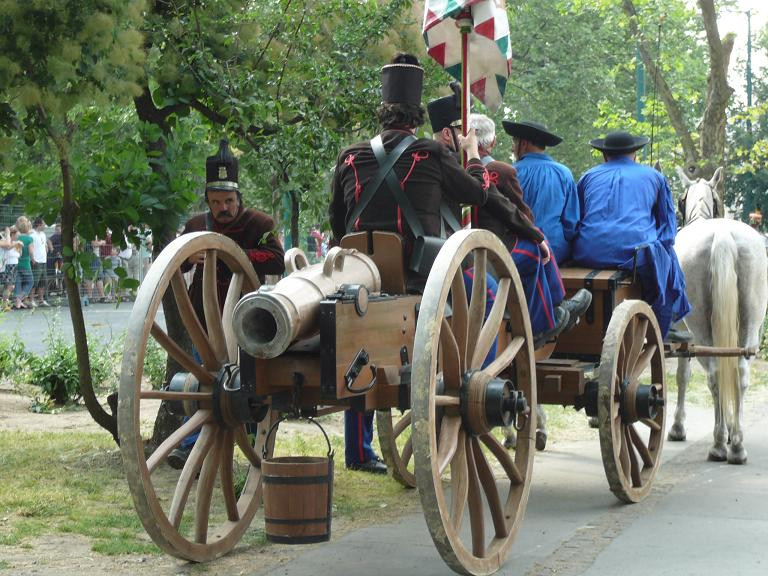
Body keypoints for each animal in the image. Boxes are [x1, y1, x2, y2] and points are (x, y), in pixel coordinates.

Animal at [668, 166, 764, 464]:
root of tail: (722, 236)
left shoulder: (680, 332)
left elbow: (682, 375)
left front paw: (677, 427)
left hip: (700, 327)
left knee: (715, 374)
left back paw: (720, 443)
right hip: (751, 323)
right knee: (740, 372)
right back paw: (736, 444)